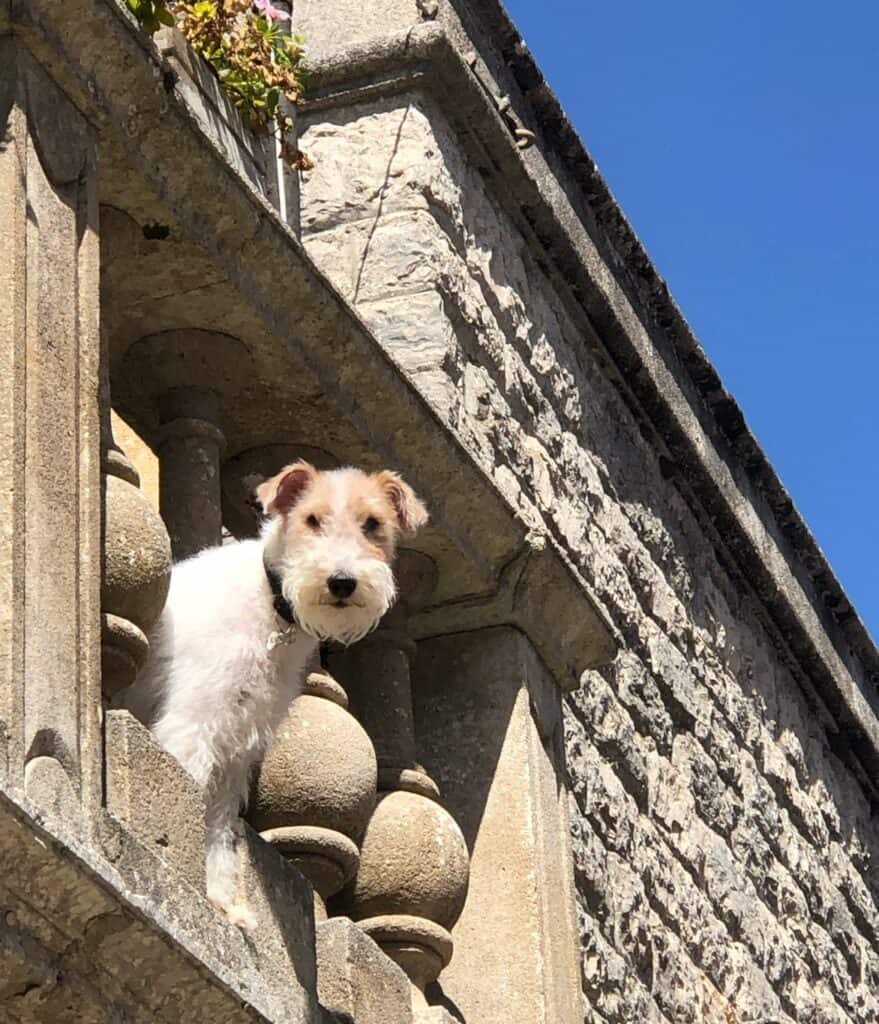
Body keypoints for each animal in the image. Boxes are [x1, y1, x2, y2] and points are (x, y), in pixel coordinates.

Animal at [118, 462, 428, 929]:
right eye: (312, 519)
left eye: (373, 523)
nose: (342, 583)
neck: (272, 607)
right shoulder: (193, 724)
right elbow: (191, 801)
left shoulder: (234, 748)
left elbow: (219, 828)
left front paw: (223, 901)